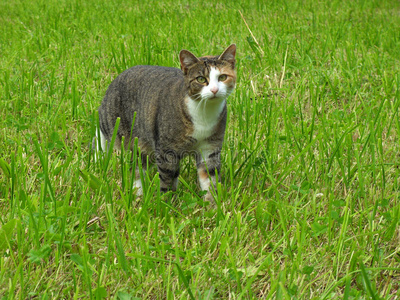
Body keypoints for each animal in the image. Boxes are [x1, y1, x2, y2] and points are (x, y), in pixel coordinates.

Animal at [95, 43, 236, 202]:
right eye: (200, 79)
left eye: (223, 77)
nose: (214, 90)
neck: (204, 112)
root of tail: (117, 78)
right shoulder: (167, 150)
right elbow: (167, 177)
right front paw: (165, 202)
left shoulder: (210, 147)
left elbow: (209, 175)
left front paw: (212, 202)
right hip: (111, 121)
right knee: (100, 129)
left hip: (144, 144)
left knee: (137, 165)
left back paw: (138, 193)